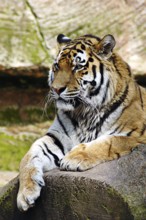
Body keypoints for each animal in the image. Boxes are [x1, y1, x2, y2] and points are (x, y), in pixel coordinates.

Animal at [16, 33, 146, 211]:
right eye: (56, 66)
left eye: (77, 67)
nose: (56, 89)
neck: (84, 112)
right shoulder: (56, 138)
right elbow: (30, 155)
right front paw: (25, 193)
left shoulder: (136, 135)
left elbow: (109, 141)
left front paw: (73, 158)